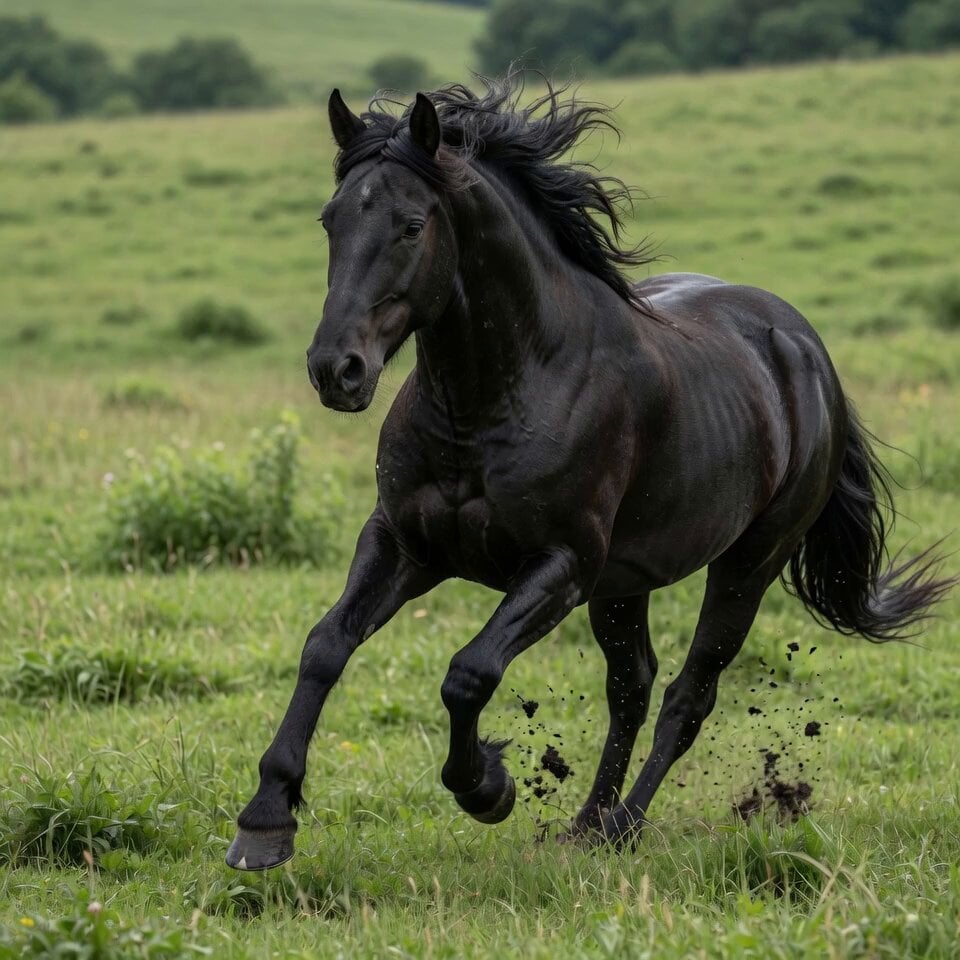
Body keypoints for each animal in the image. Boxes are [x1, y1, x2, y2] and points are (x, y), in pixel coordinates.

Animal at [226, 75, 954, 870]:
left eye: (412, 225)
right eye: (330, 220)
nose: (337, 370)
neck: (493, 399)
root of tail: (805, 349)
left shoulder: (562, 565)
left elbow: (469, 673)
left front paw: (488, 786)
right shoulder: (403, 543)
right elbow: (326, 646)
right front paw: (265, 821)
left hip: (746, 566)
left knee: (687, 695)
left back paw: (621, 824)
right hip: (624, 581)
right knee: (632, 684)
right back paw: (586, 822)